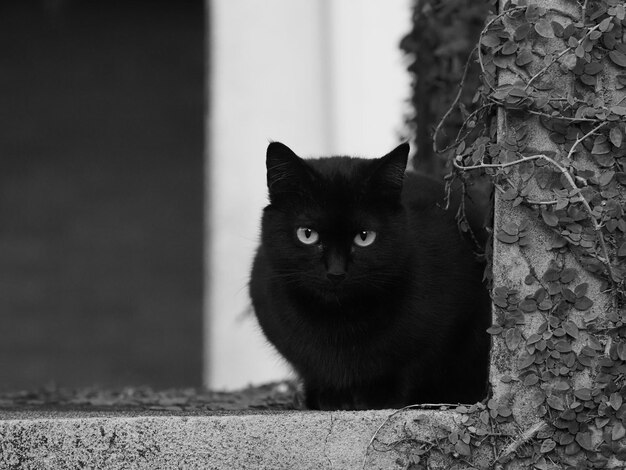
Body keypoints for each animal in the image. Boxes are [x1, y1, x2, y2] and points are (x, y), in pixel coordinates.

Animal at [247, 141, 488, 410]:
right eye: (307, 234)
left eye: (364, 237)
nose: (336, 271)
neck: (339, 322)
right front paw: (328, 397)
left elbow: (411, 365)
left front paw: (378, 397)